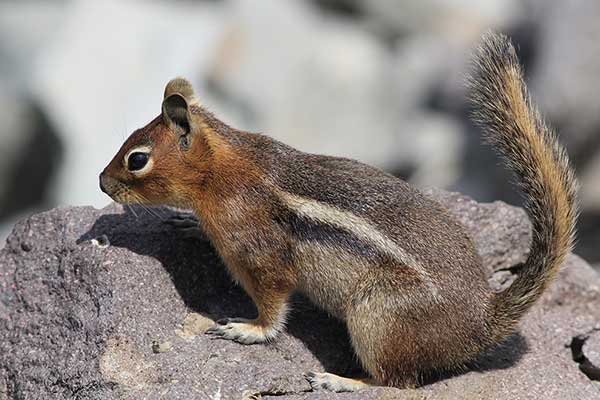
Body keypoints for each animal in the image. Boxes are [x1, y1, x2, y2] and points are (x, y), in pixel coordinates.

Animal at [101, 32, 580, 392]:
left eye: (137, 159)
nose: (102, 183)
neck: (222, 170)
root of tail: (482, 322)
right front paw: (188, 223)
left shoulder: (259, 253)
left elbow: (274, 304)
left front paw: (248, 329)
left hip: (377, 318)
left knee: (397, 384)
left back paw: (341, 381)